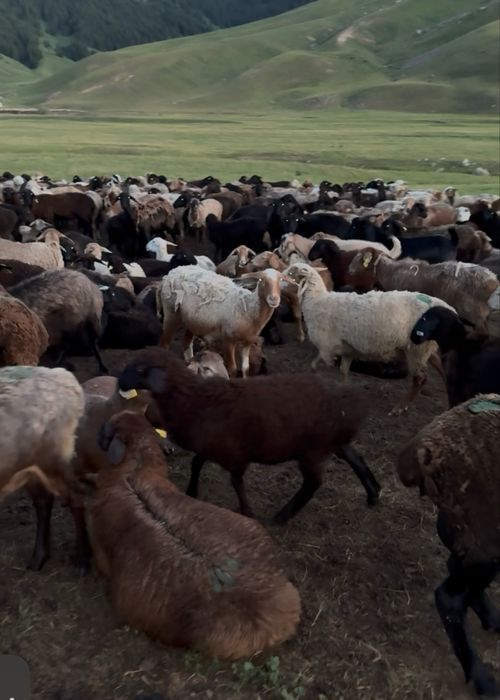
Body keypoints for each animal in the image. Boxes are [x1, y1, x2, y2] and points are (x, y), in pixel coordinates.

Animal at [0, 366, 85, 567]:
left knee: (76, 496)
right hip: (28, 467)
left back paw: (82, 561)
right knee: (43, 501)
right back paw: (39, 557)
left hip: (54, 458)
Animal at [117, 349, 380, 521]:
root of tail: (348, 402)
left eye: (140, 369)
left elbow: (236, 481)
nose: (120, 382)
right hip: (331, 441)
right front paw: (192, 491)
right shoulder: (212, 446)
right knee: (355, 458)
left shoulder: (234, 454)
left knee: (313, 483)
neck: (192, 397)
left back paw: (281, 516)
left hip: (313, 450)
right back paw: (373, 493)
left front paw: (247, 512)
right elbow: (196, 463)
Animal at [285, 262, 456, 413]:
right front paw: (344, 390)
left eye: (291, 272)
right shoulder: (346, 349)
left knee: (420, 379)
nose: (279, 277)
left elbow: (315, 366)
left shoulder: (327, 346)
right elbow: (343, 371)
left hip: (417, 349)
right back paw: (449, 403)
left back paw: (400, 407)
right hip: (426, 347)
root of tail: (448, 309)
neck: (317, 301)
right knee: (442, 369)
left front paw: (317, 380)